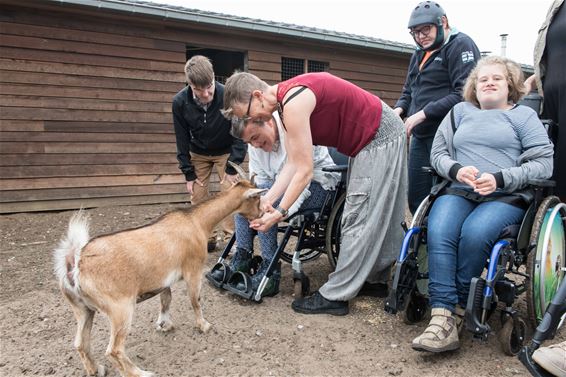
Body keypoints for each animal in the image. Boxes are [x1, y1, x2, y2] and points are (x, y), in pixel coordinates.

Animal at [53, 177, 266, 376]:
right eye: (256, 198)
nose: (261, 215)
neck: (196, 221)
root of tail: (77, 264)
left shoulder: (164, 279)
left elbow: (166, 299)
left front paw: (164, 325)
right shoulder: (193, 269)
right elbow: (195, 300)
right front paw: (204, 326)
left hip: (82, 309)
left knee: (80, 343)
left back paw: (96, 369)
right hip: (120, 309)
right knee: (113, 350)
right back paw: (140, 373)